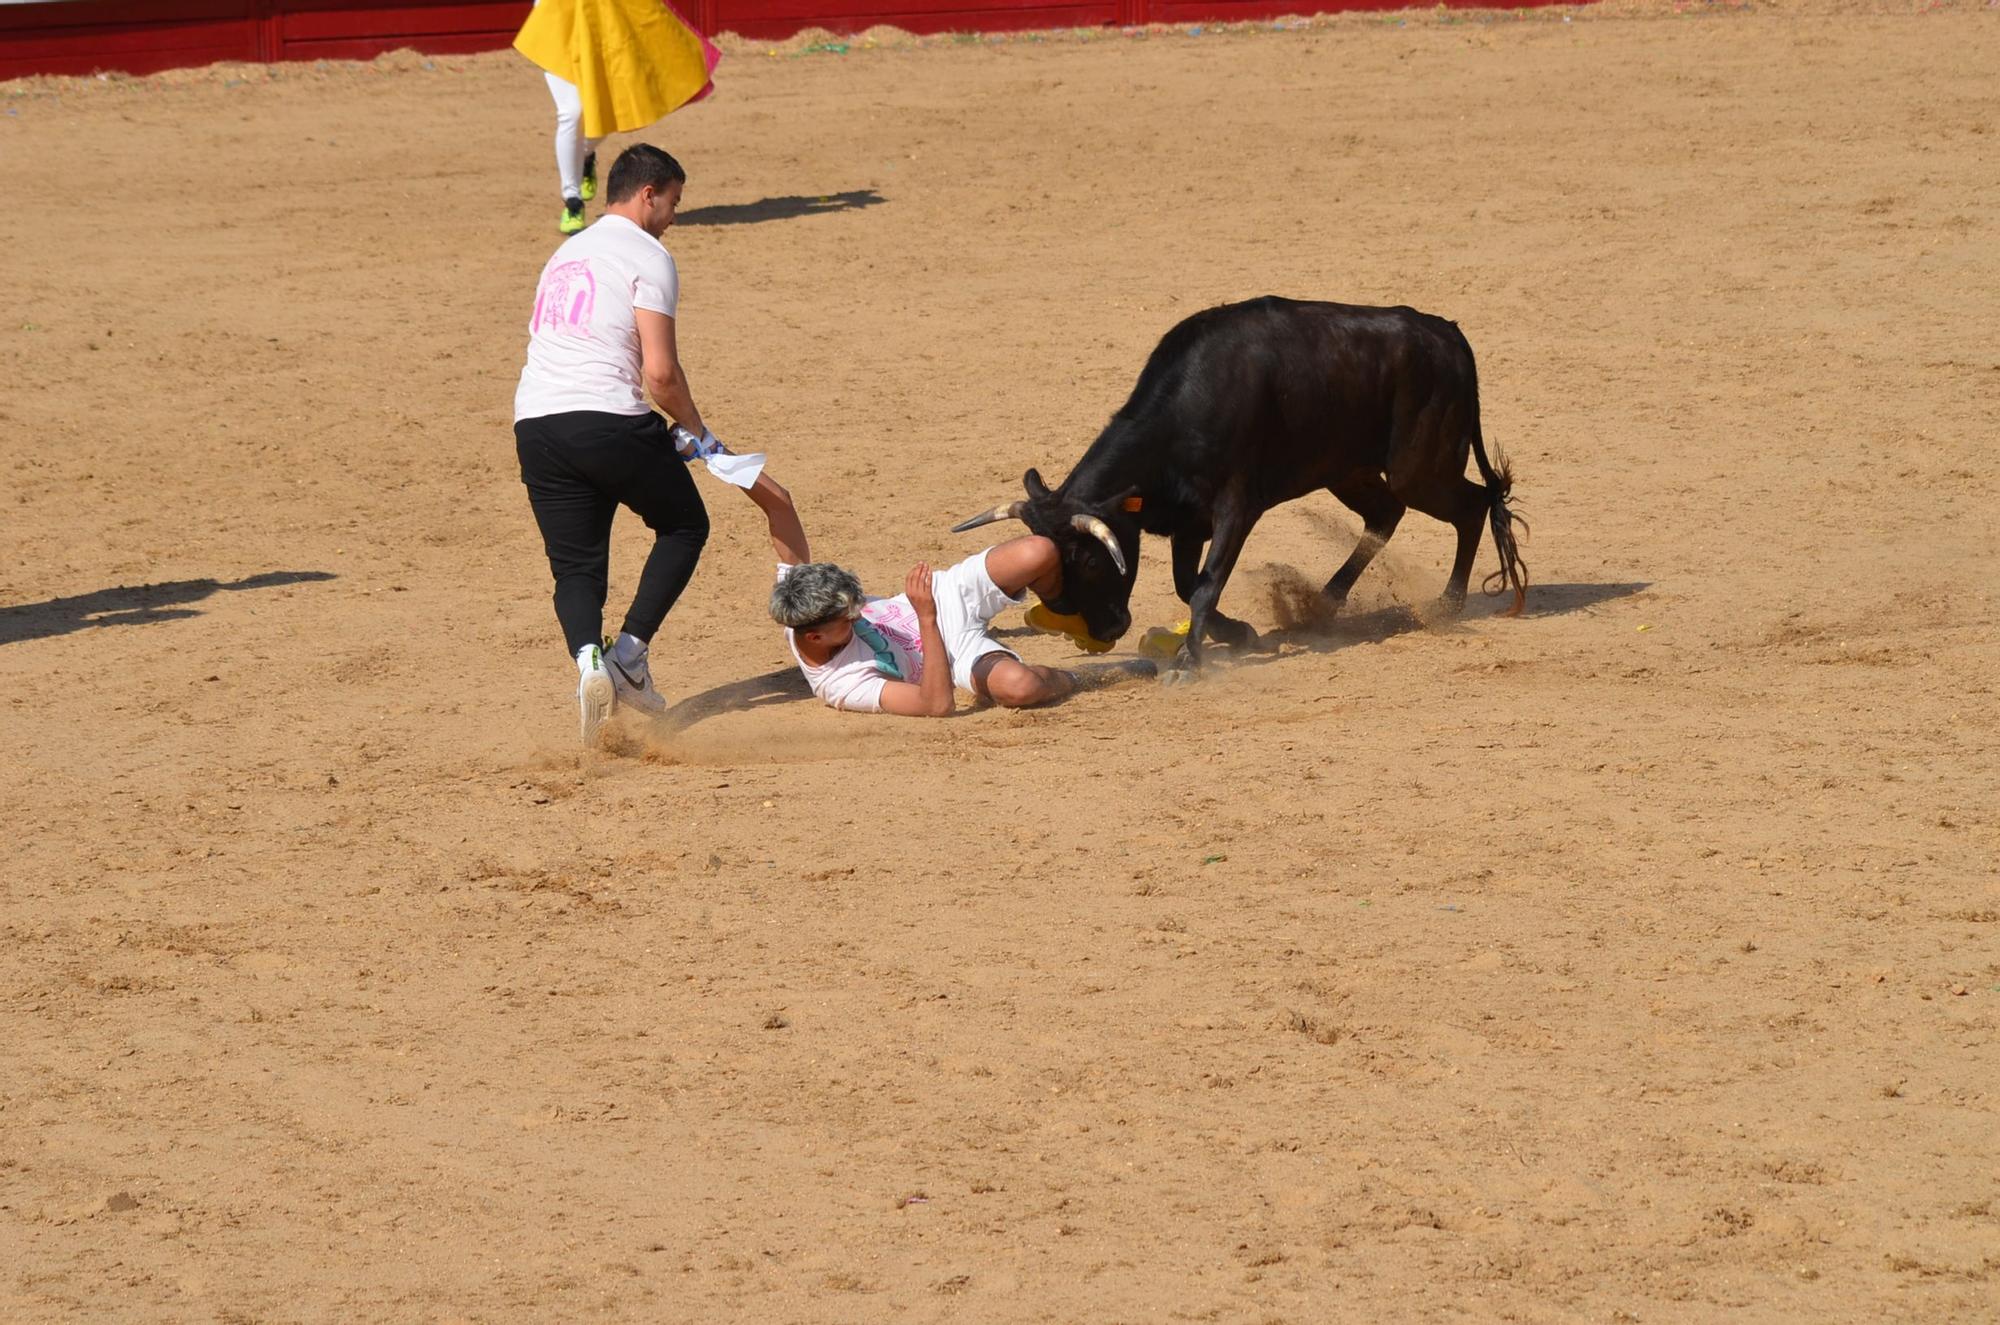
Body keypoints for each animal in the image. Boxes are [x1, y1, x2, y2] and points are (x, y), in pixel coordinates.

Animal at [952, 296, 1528, 668]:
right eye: (1043, 575)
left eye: (1091, 560)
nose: (1106, 631)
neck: (1187, 410)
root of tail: (1447, 331)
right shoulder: (1187, 521)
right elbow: (1188, 585)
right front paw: (1243, 635)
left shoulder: (1236, 506)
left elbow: (1207, 584)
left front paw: (1192, 660)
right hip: (1347, 470)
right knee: (1387, 513)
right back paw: (1323, 604)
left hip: (1418, 468)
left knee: (1471, 504)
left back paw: (1448, 605)